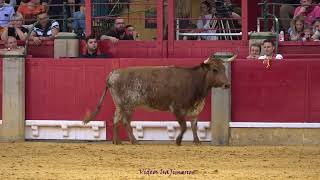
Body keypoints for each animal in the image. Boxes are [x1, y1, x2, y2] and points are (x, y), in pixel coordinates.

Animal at [84, 54, 236, 145]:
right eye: (215, 70)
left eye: (224, 69)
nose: (227, 84)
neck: (194, 82)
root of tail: (113, 73)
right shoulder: (177, 108)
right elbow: (184, 126)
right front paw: (178, 141)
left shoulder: (195, 109)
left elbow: (193, 125)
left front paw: (197, 141)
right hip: (128, 106)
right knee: (125, 121)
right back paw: (134, 141)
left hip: (120, 105)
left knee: (116, 119)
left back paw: (117, 142)